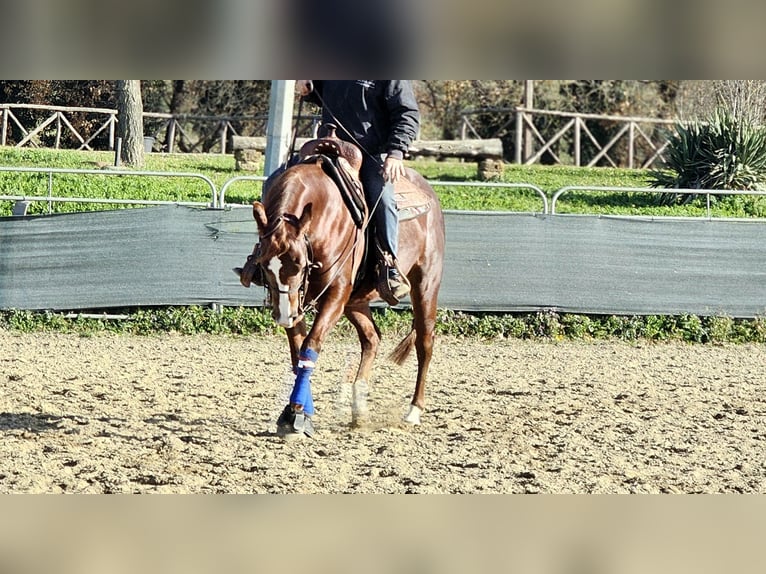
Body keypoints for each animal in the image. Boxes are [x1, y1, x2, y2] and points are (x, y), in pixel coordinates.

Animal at [236, 133, 445, 437]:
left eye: (299, 263)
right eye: (264, 264)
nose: (284, 316)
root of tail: (429, 194)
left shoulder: (334, 294)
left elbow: (311, 344)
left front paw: (297, 413)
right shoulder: (296, 300)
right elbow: (298, 351)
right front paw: (298, 413)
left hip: (426, 284)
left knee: (425, 343)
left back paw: (413, 411)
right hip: (356, 301)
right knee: (372, 339)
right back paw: (359, 408)